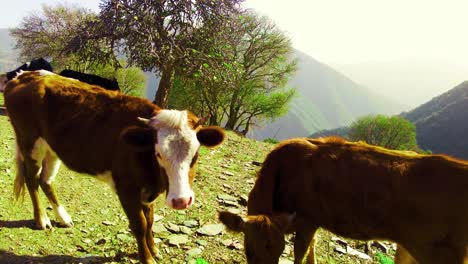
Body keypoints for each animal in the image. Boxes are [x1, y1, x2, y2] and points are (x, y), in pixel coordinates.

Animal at [3, 70, 226, 264]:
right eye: (158, 154)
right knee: (32, 179)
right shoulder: (125, 187)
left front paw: (154, 249)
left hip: (52, 149)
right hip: (30, 143)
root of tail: (25, 75)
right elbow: (139, 224)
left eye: (195, 155)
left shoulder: (147, 189)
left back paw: (63, 217)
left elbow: (150, 220)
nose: (181, 201)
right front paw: (147, 258)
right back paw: (42, 220)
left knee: (46, 181)